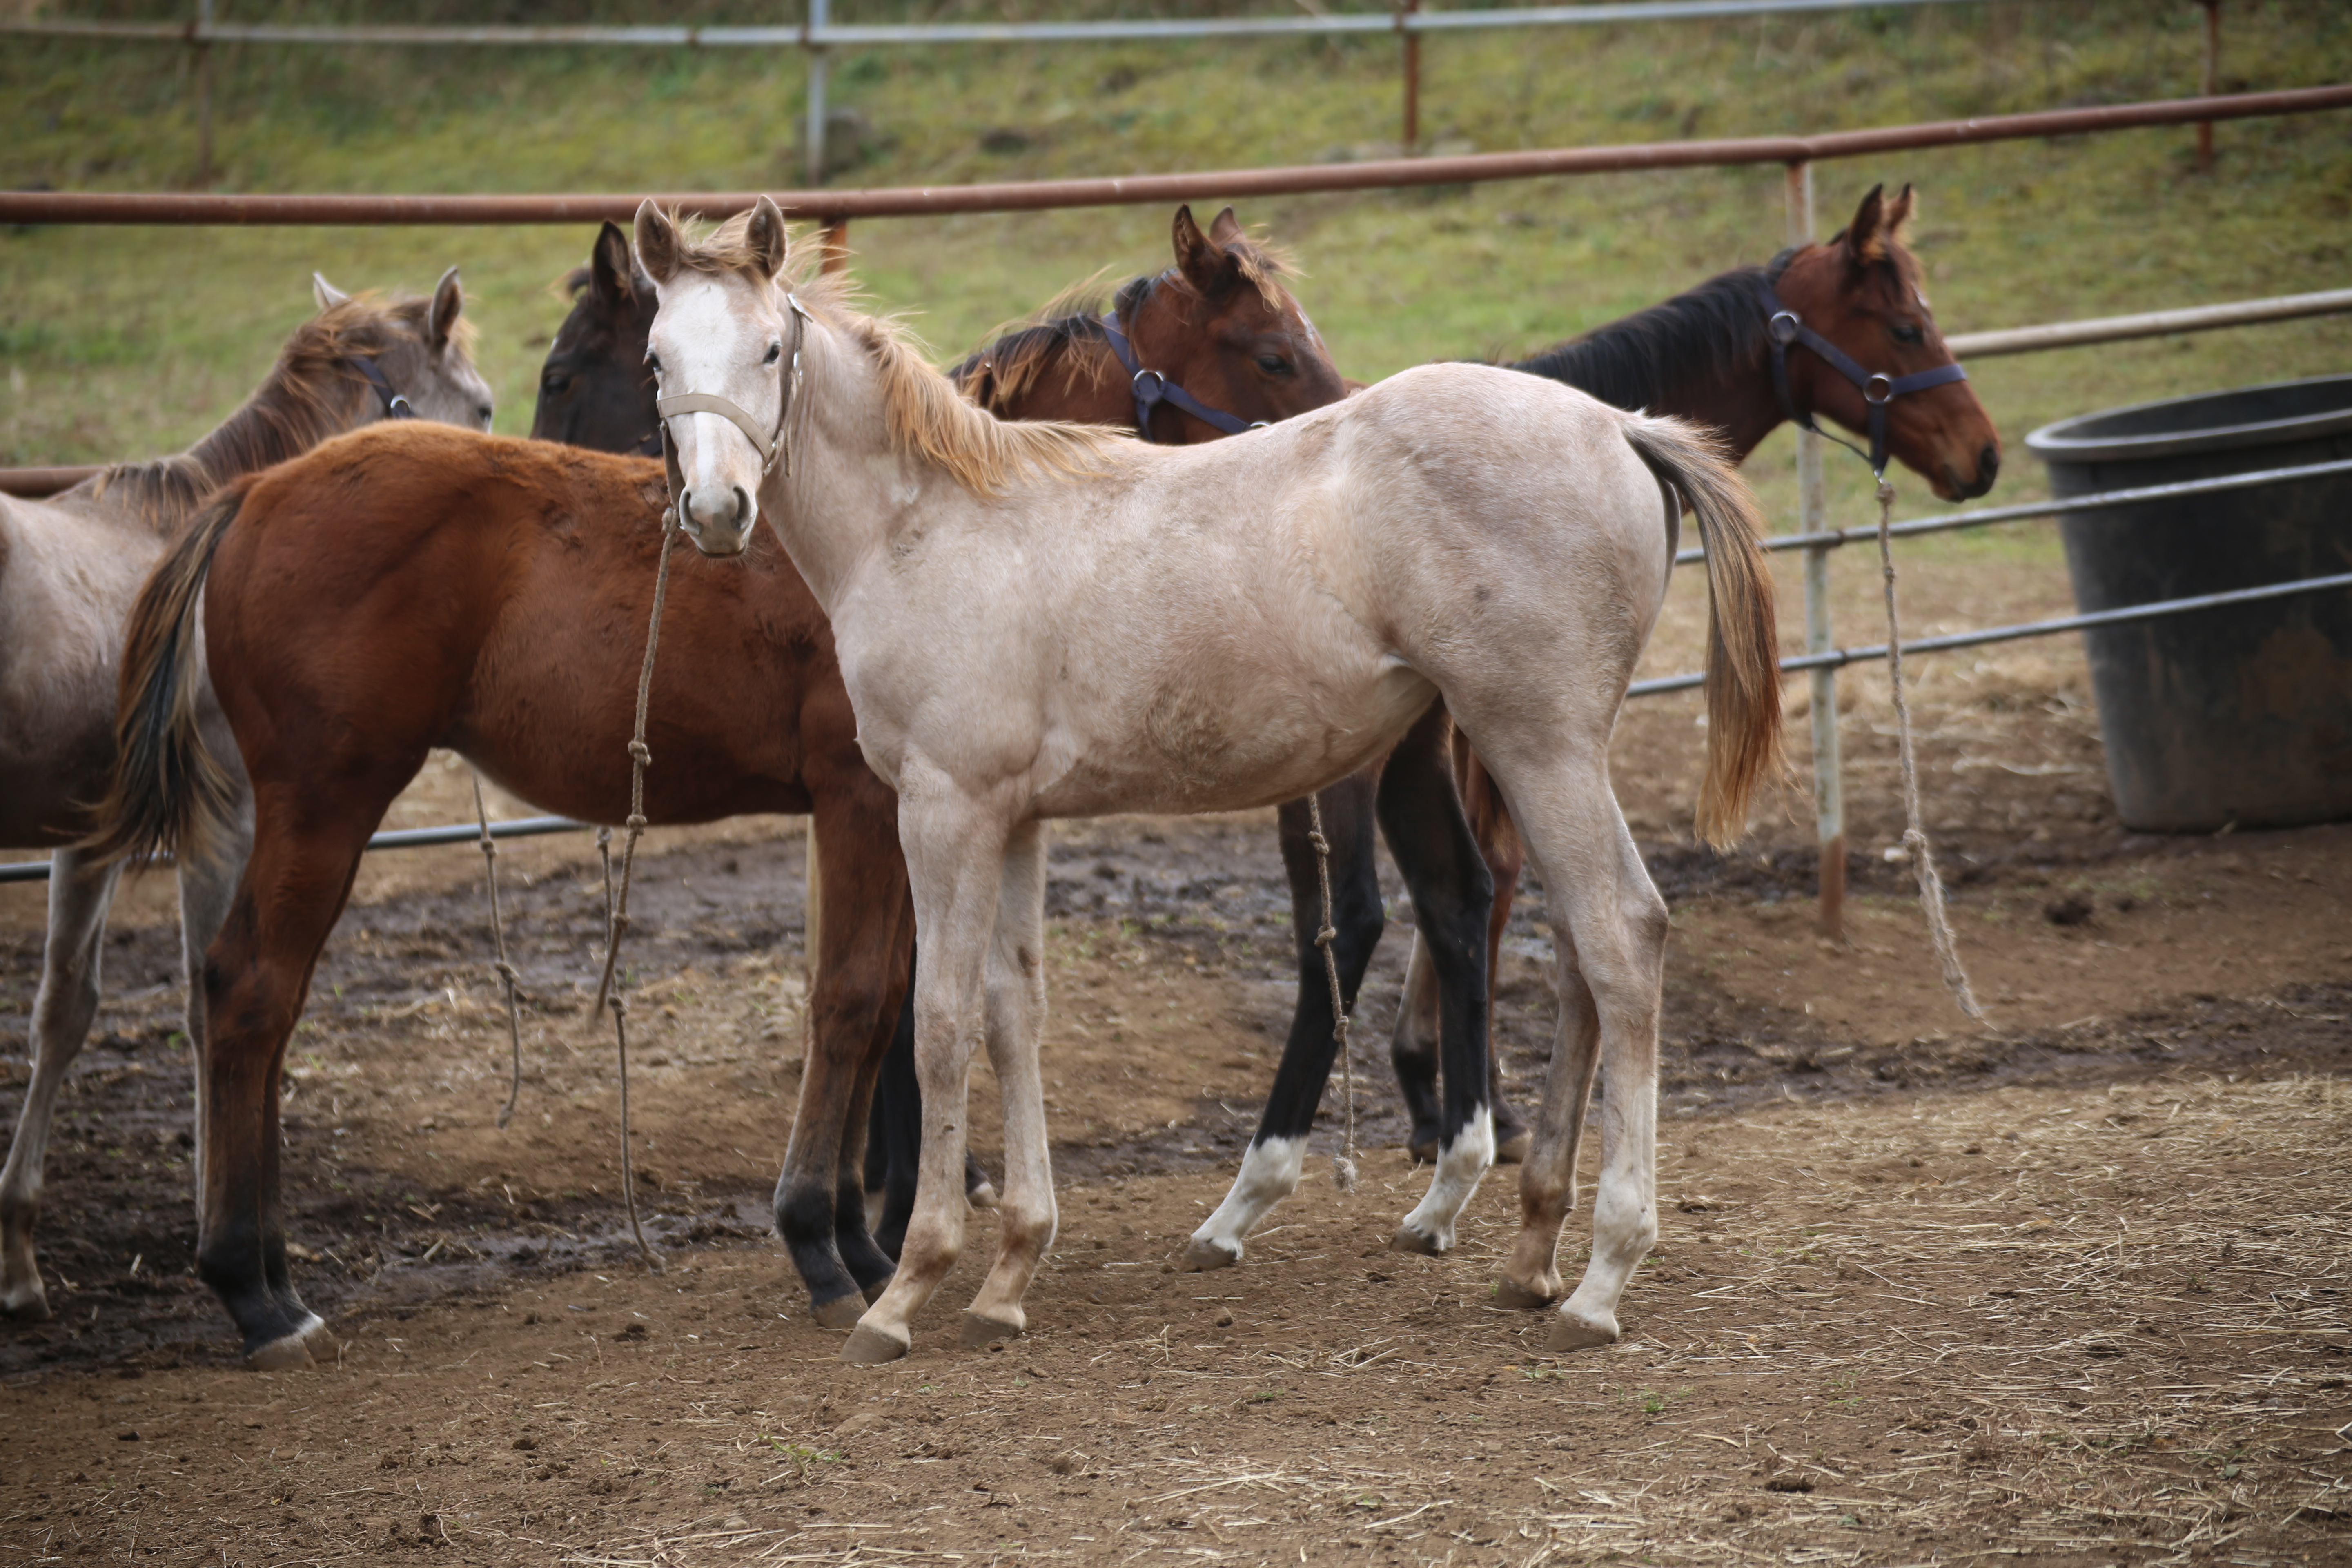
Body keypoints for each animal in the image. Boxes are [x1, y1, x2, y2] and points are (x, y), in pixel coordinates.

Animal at [0, 276, 487, 1335]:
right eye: (479, 407)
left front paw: (17, 1261)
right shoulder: (223, 827)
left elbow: (64, 1010)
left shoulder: (87, 841)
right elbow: (204, 997)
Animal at [78, 208, 1345, 1363]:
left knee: (241, 994)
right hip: (326, 801)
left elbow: (880, 1006)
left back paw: (265, 1267)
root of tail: (251, 496)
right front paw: (832, 1243)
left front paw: (867, 1233)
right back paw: (259, 1295)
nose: (1339, 429)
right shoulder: (869, 803)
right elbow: (858, 1002)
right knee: (250, 991)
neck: (908, 524)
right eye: (1273, 355)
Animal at [630, 200, 1778, 1363]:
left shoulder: (942, 808)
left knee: (1620, 935)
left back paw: (1600, 1274)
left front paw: (908, 1286)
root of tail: (1622, 426)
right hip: (1533, 750)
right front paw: (1011, 1271)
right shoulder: (1013, 818)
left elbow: (939, 1022)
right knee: (1573, 950)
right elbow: (1014, 1010)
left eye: (770, 350)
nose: (717, 510)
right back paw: (1530, 1251)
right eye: (656, 358)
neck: (928, 526)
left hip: (1540, 742)